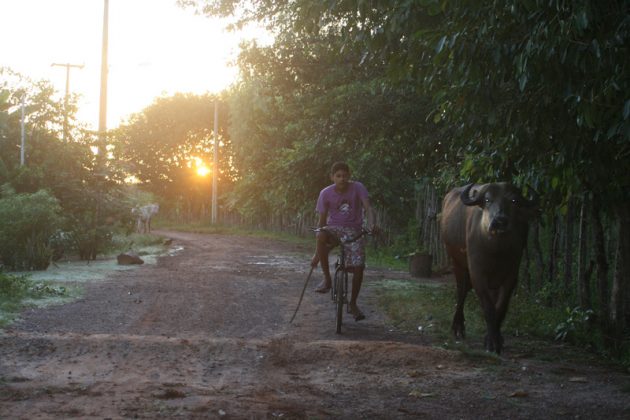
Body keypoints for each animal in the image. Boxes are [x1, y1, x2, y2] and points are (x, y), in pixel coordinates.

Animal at [440, 182, 540, 352]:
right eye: (487, 200)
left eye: (514, 200)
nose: (499, 221)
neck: (496, 251)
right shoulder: (477, 273)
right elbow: (488, 307)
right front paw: (492, 342)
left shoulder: (511, 275)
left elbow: (500, 307)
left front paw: (495, 338)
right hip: (457, 263)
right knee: (461, 292)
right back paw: (458, 327)